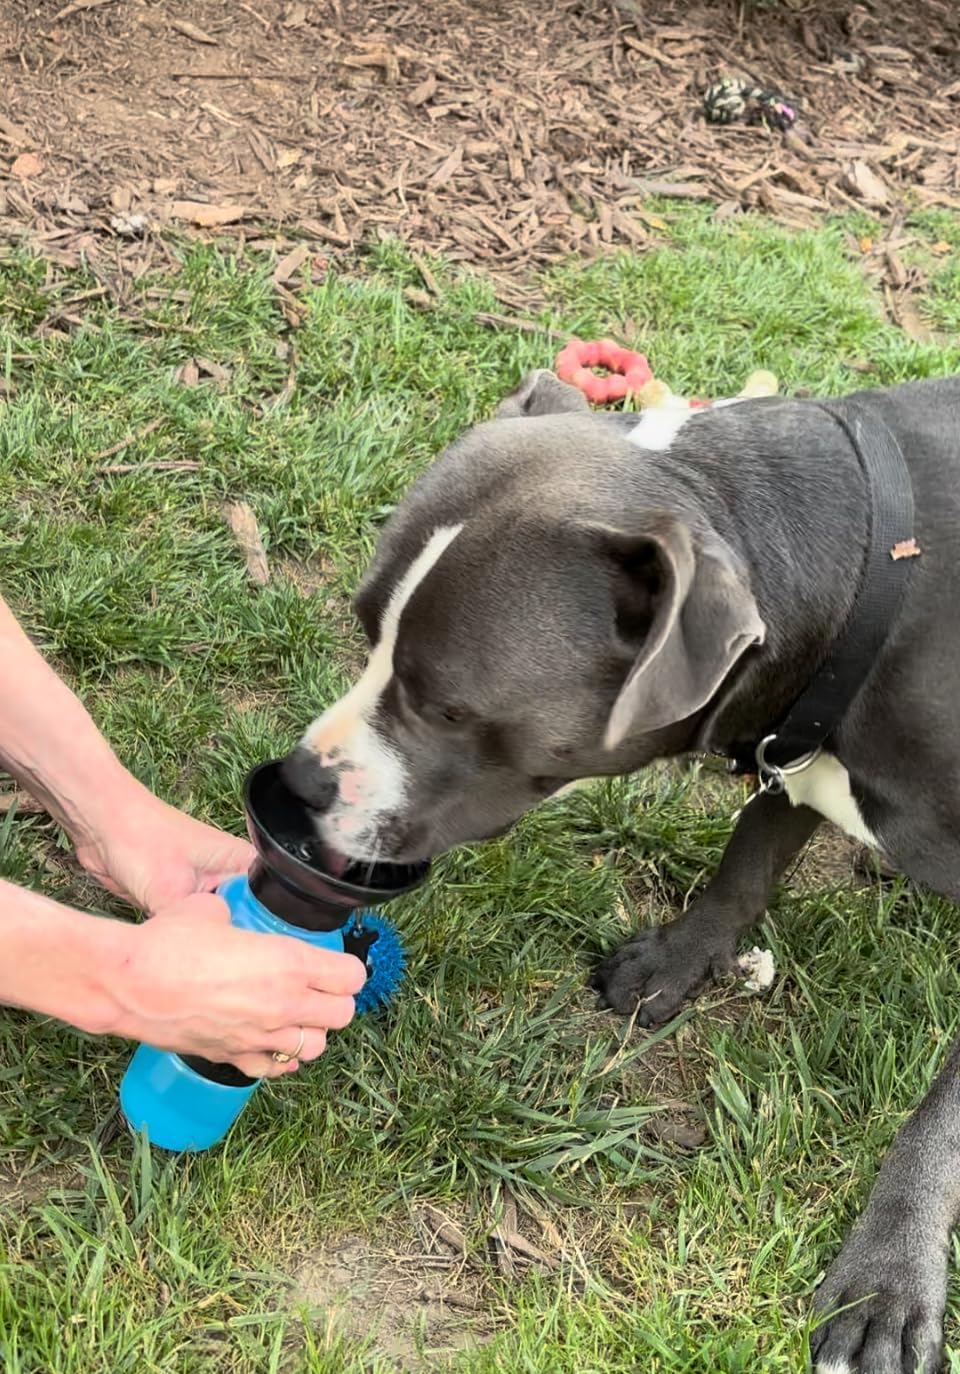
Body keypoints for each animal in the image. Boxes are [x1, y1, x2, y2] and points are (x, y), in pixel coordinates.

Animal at [281, 370, 960, 1368]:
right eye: (366, 628)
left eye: (448, 706)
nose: (298, 782)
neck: (873, 572)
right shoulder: (794, 735)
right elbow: (747, 860)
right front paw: (679, 961)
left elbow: (939, 1115)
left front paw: (890, 1278)